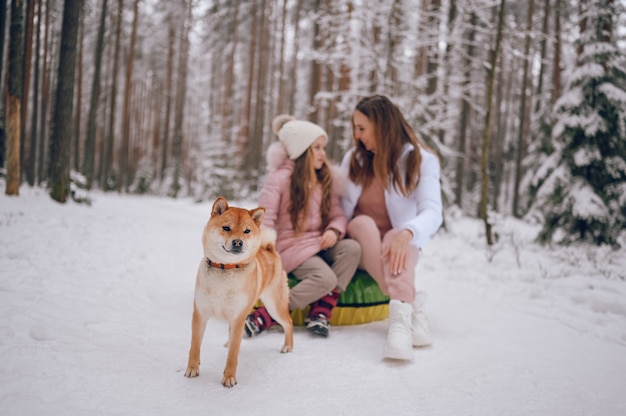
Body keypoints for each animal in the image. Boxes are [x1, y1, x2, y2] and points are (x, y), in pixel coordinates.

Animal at [184, 196, 294, 386]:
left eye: (247, 231)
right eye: (226, 228)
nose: (237, 242)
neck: (225, 268)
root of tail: (270, 250)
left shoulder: (237, 318)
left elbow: (233, 355)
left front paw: (229, 377)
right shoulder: (200, 313)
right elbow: (195, 346)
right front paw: (192, 369)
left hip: (274, 306)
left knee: (289, 322)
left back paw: (288, 346)